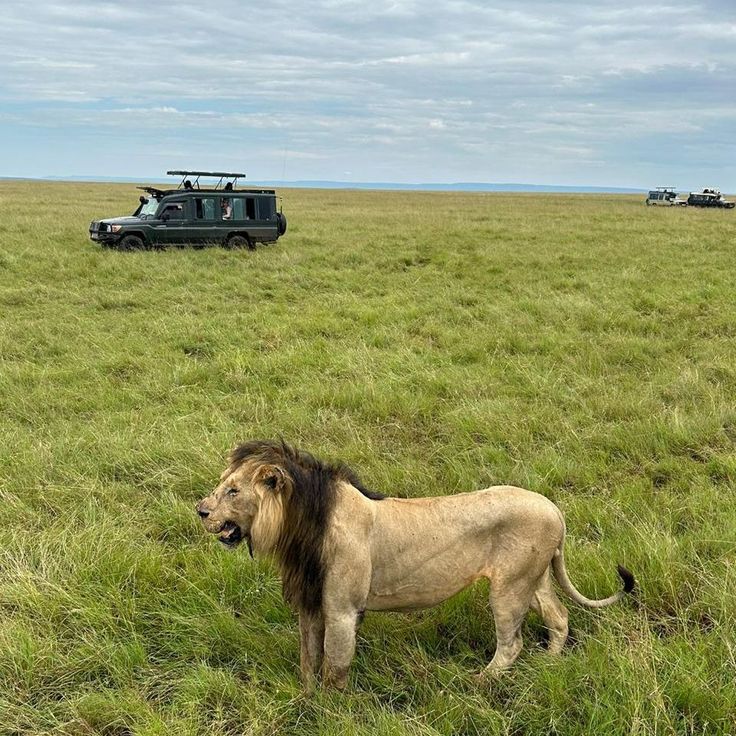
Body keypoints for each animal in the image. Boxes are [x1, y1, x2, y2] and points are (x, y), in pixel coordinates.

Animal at [196, 440, 632, 692]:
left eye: (233, 491)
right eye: (223, 485)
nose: (200, 510)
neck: (299, 530)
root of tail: (555, 510)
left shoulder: (342, 610)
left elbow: (335, 665)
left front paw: (329, 709)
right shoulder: (310, 604)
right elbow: (309, 658)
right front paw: (307, 697)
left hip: (509, 587)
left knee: (512, 644)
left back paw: (479, 682)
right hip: (534, 578)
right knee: (559, 618)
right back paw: (549, 665)